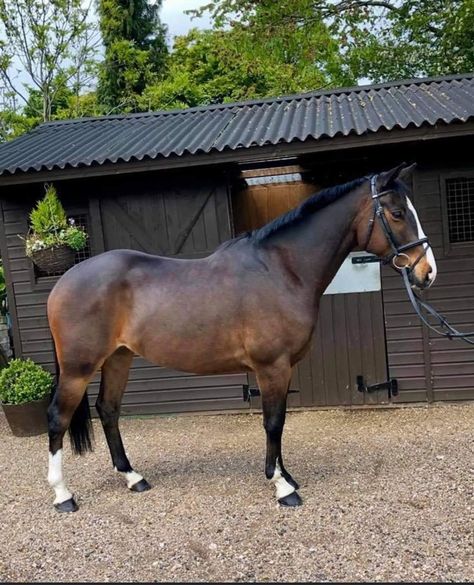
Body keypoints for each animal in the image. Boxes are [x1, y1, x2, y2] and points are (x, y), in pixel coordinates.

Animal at [48, 162, 436, 508]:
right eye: (398, 213)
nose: (427, 272)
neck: (281, 270)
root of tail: (64, 281)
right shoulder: (272, 367)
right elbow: (273, 423)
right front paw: (282, 487)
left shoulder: (283, 368)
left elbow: (280, 422)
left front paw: (285, 475)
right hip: (79, 368)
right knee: (58, 417)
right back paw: (63, 495)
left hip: (119, 358)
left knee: (108, 409)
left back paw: (134, 478)